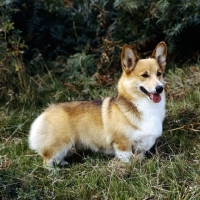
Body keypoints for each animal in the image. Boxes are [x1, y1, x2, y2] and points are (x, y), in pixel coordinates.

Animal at [28, 41, 167, 166]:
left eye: (159, 74)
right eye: (145, 75)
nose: (160, 88)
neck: (144, 105)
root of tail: (45, 112)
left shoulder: (141, 148)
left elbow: (140, 157)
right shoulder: (122, 144)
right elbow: (127, 159)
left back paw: (63, 163)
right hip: (59, 145)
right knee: (47, 160)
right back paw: (54, 172)